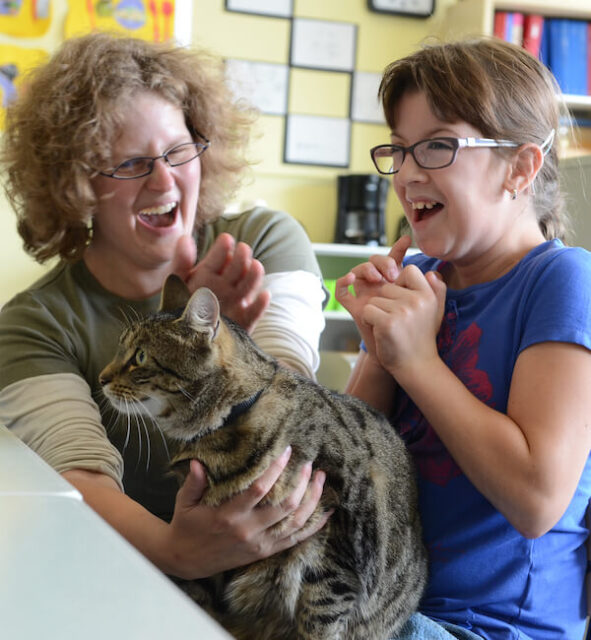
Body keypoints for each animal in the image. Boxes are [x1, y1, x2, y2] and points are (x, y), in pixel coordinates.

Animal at [99, 274, 428, 640]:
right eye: (122, 350)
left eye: (140, 357)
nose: (101, 378)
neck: (228, 420)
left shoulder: (333, 558)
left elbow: (319, 623)